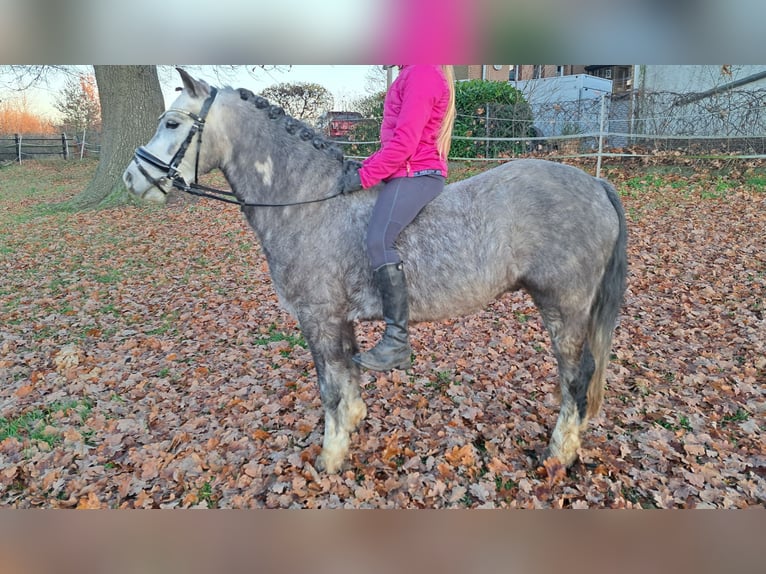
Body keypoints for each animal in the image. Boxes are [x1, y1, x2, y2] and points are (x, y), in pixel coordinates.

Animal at [123, 69, 628, 474]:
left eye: (172, 123)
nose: (132, 178)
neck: (308, 200)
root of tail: (596, 183)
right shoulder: (338, 319)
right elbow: (347, 378)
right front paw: (352, 425)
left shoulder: (319, 318)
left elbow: (329, 387)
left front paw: (330, 458)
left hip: (564, 308)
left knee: (576, 377)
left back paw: (559, 454)